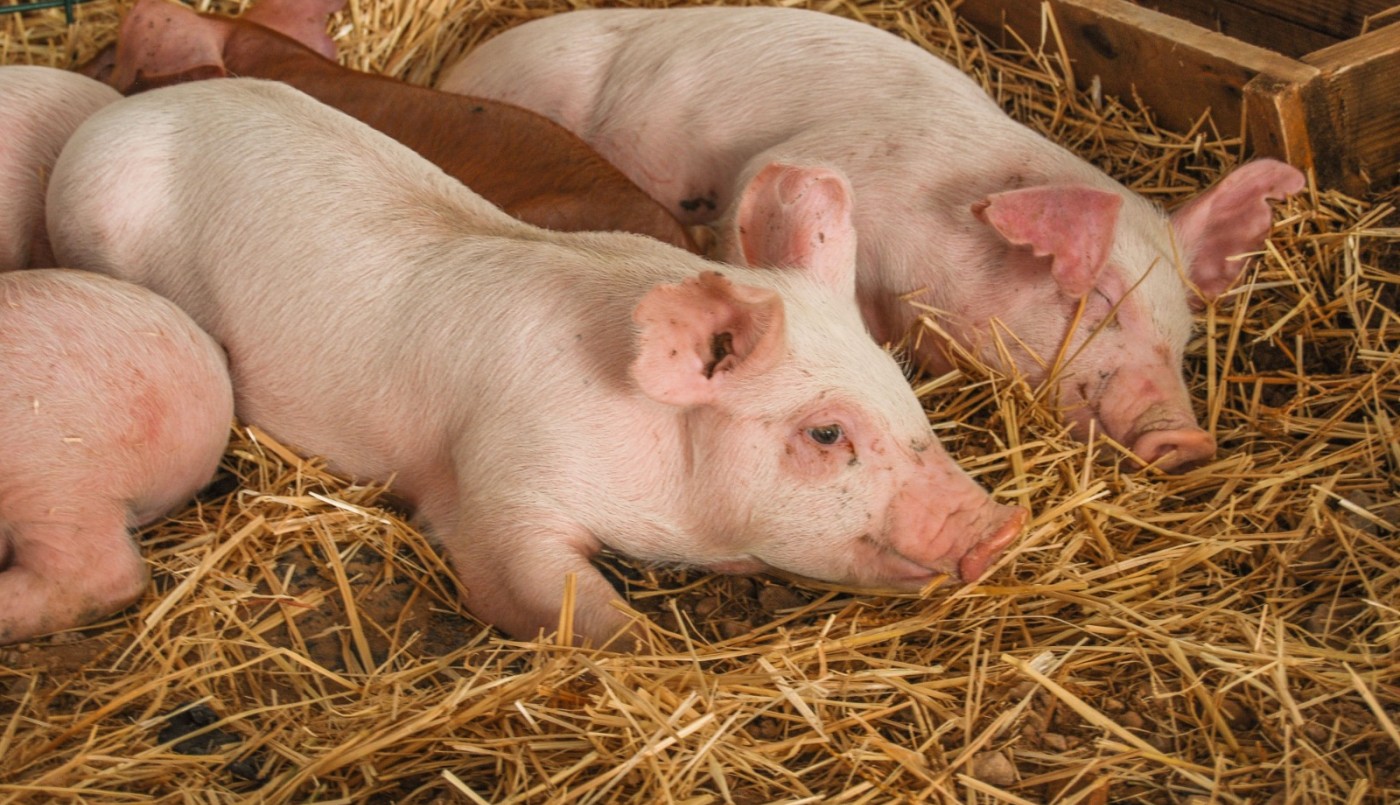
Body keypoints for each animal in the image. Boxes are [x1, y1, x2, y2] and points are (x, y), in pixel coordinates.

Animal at [47, 79, 1026, 646]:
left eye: (904, 390)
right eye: (825, 433)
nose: (1000, 526)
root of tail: (106, 116)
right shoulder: (495, 485)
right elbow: (562, 603)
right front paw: (645, 647)